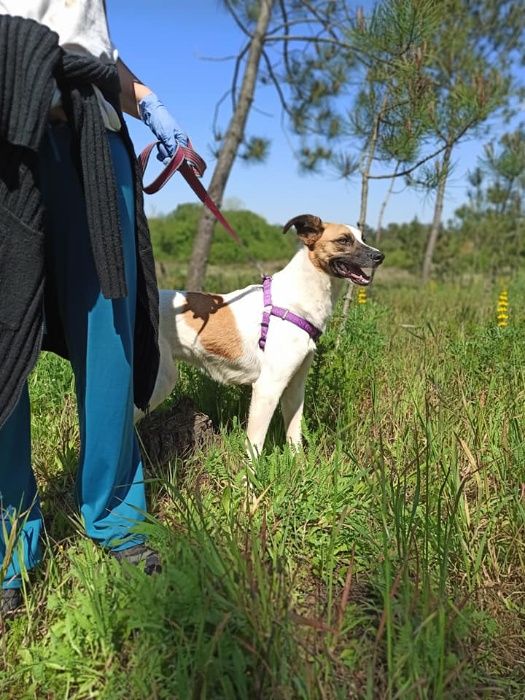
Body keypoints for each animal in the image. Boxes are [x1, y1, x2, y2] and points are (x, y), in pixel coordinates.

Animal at [133, 215, 382, 454]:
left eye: (363, 238)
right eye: (343, 240)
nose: (380, 256)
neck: (295, 302)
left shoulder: (294, 388)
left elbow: (295, 439)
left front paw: (300, 467)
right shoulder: (267, 388)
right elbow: (255, 446)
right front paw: (251, 471)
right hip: (159, 381)